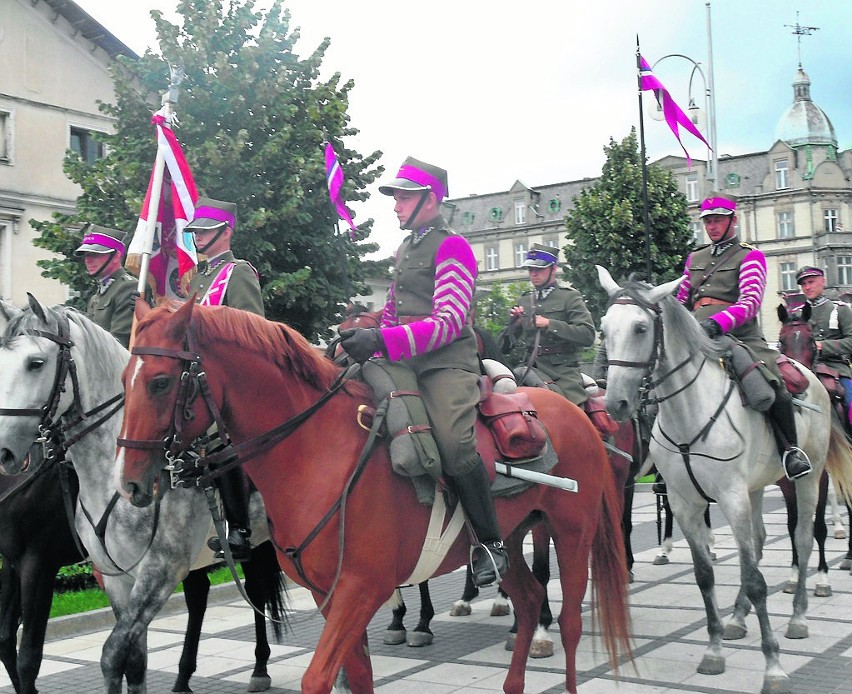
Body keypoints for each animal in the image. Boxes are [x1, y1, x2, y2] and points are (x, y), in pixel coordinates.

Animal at [0, 300, 282, 694]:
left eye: (36, 363)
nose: (5, 451)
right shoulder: (111, 575)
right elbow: (133, 660)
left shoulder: (154, 568)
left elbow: (103, 653)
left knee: (256, 589)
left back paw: (258, 668)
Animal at [116, 304, 628, 694]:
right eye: (125, 379)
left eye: (160, 382)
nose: (129, 484)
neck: (318, 451)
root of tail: (573, 412)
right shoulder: (330, 596)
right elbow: (357, 677)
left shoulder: (361, 589)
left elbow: (318, 679)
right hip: (513, 535)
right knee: (527, 597)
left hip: (571, 534)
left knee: (569, 622)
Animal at [596, 268, 852, 694]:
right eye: (603, 329)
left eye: (640, 327)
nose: (616, 403)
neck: (688, 413)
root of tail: (811, 377)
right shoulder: (685, 503)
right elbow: (705, 576)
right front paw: (714, 649)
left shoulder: (731, 499)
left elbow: (757, 580)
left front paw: (773, 666)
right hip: (758, 487)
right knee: (761, 541)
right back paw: (737, 617)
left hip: (808, 476)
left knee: (802, 536)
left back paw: (799, 614)